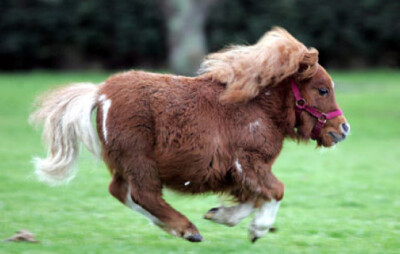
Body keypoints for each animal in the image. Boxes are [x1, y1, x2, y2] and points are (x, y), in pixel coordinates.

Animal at [29, 26, 350, 243]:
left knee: (121, 191)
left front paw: (221, 215)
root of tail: (101, 93)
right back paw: (187, 229)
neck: (255, 107)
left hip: (126, 164)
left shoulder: (237, 173)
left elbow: (256, 197)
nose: (343, 129)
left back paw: (173, 227)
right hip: (139, 160)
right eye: (322, 90)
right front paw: (257, 228)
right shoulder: (247, 162)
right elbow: (276, 190)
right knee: (143, 194)